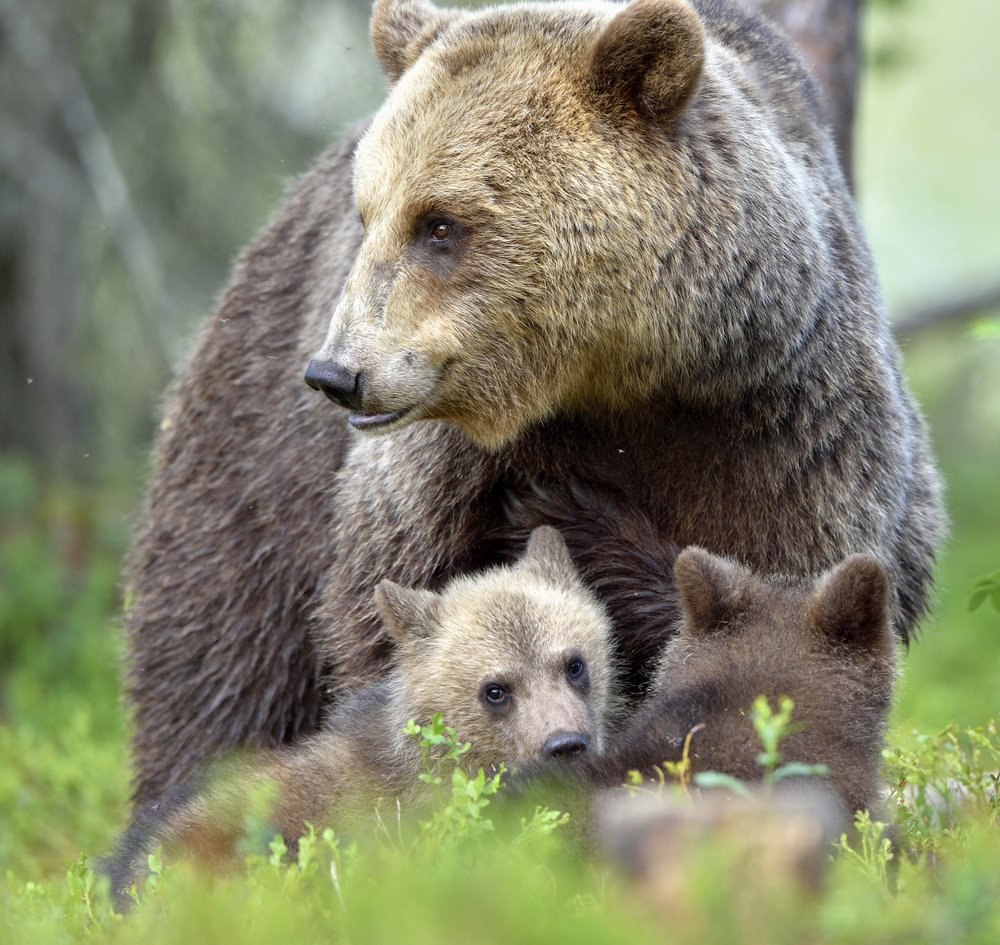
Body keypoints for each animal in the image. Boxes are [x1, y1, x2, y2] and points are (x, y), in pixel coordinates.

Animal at [121, 1, 940, 812]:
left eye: (440, 223)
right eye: (368, 214)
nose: (336, 373)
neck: (621, 376)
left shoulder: (777, 429)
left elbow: (780, 606)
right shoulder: (441, 476)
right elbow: (399, 625)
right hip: (254, 470)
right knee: (219, 661)